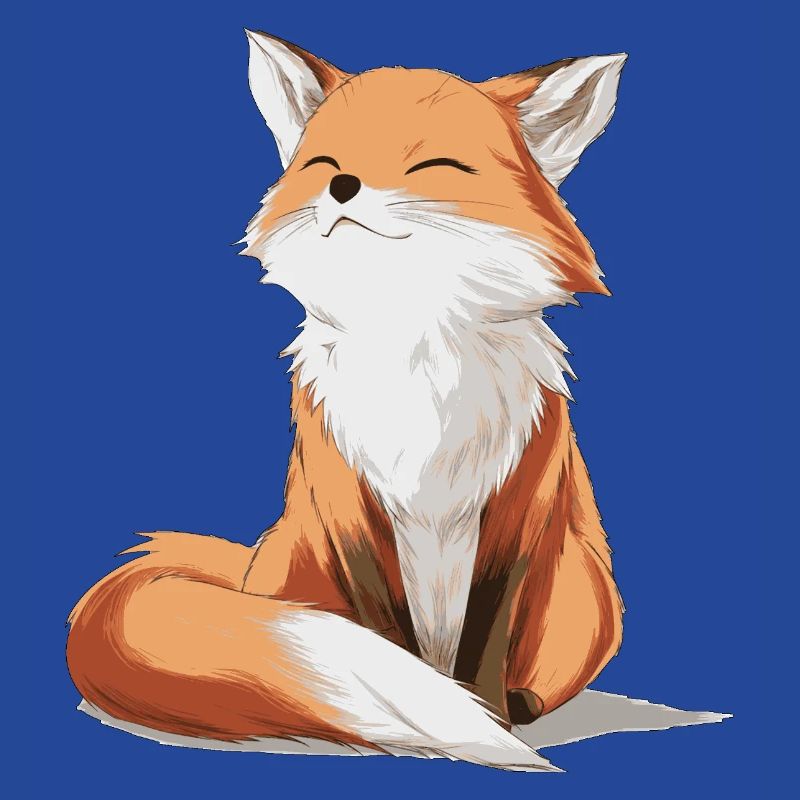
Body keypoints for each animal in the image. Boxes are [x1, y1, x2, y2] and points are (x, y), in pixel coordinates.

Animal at [66, 30, 627, 771]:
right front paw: (434, 714)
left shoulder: (515, 515)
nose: (343, 187)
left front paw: (493, 723)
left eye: (434, 164)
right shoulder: (351, 509)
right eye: (326, 162)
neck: (414, 361)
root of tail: (246, 568)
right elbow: (386, 636)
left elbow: (485, 641)